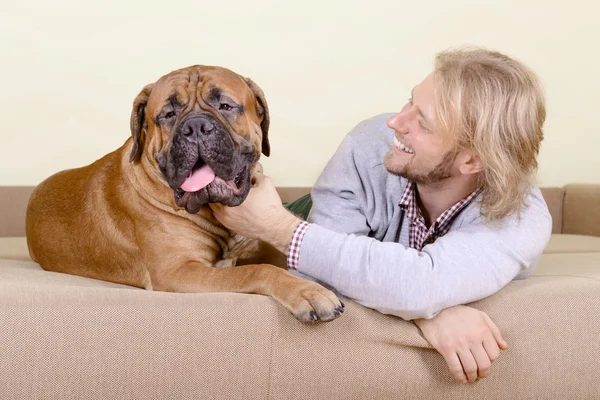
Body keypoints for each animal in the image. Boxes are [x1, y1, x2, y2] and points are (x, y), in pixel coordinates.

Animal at [25, 65, 344, 322]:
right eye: (168, 114)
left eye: (225, 105)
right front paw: (307, 292)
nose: (196, 127)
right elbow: (258, 270)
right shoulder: (178, 271)